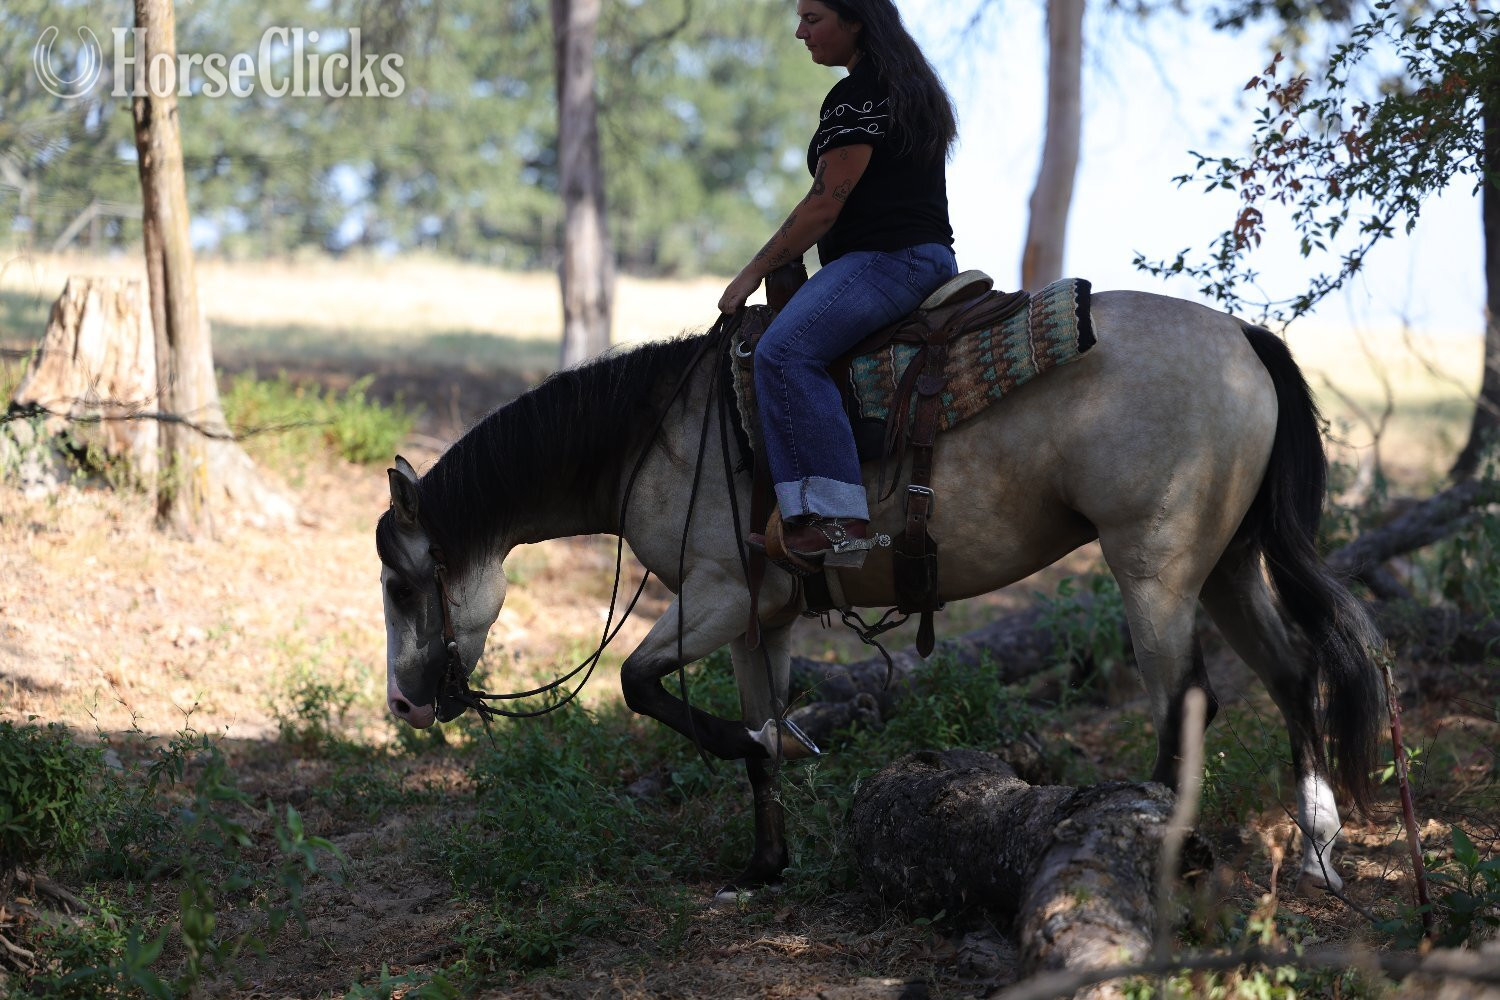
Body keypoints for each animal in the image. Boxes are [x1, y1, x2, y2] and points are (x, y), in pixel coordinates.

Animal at [375, 289, 1385, 896]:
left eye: (399, 580)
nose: (405, 707)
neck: (658, 433)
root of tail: (1244, 340)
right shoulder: (761, 618)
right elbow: (763, 731)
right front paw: (766, 864)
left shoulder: (717, 598)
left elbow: (643, 686)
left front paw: (761, 753)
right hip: (1225, 565)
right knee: (1291, 673)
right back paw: (1320, 848)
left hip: (1156, 568)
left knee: (1189, 699)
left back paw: (1168, 852)